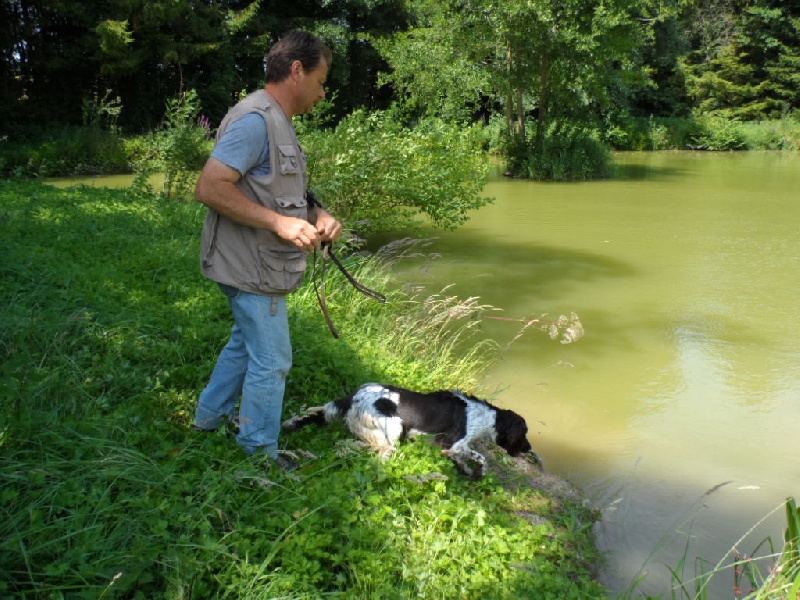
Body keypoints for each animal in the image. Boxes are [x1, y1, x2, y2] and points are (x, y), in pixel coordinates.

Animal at [282, 384, 536, 478]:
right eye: (524, 434)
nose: (529, 449)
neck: (485, 416)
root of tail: (353, 396)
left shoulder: (449, 447)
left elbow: (463, 458)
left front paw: (464, 469)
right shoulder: (454, 443)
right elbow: (481, 458)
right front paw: (477, 472)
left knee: (348, 444)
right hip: (393, 427)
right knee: (378, 452)